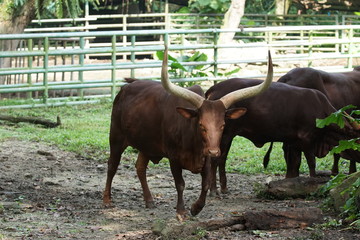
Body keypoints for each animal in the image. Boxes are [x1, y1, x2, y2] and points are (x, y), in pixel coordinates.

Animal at [103, 43, 272, 219]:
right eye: (201, 125)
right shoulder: (173, 157)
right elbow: (180, 184)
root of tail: (126, 88)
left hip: (146, 145)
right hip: (116, 136)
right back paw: (107, 200)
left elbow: (205, 184)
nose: (214, 151)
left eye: (222, 125)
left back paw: (149, 201)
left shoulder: (206, 159)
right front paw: (181, 211)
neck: (192, 140)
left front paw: (196, 208)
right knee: (112, 165)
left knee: (140, 167)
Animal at [205, 79, 360, 194]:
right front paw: (313, 182)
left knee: (222, 159)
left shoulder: (295, 142)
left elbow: (295, 164)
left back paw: (224, 188)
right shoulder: (307, 140)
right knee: (216, 159)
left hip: (228, 136)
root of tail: (215, 88)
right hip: (224, 134)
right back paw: (213, 190)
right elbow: (311, 163)